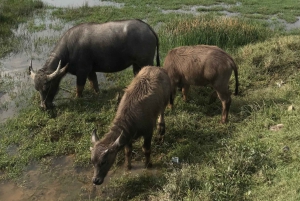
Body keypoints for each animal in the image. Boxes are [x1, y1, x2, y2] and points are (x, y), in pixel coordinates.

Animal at [29, 18, 161, 109]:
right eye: (37, 88)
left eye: (47, 87)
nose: (43, 107)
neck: (69, 49)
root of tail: (148, 28)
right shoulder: (90, 71)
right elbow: (94, 83)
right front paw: (98, 94)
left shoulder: (82, 72)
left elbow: (79, 87)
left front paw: (78, 98)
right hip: (136, 64)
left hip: (146, 61)